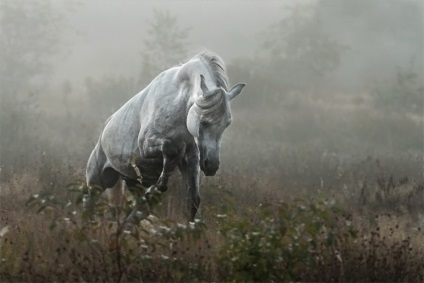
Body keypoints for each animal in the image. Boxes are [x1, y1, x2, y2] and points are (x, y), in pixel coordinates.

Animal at [86, 53, 245, 222]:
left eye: (227, 124)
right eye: (203, 122)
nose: (211, 165)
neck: (178, 102)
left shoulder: (192, 157)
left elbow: (193, 200)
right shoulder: (146, 145)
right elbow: (170, 149)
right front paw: (160, 183)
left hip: (130, 182)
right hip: (96, 182)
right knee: (89, 204)